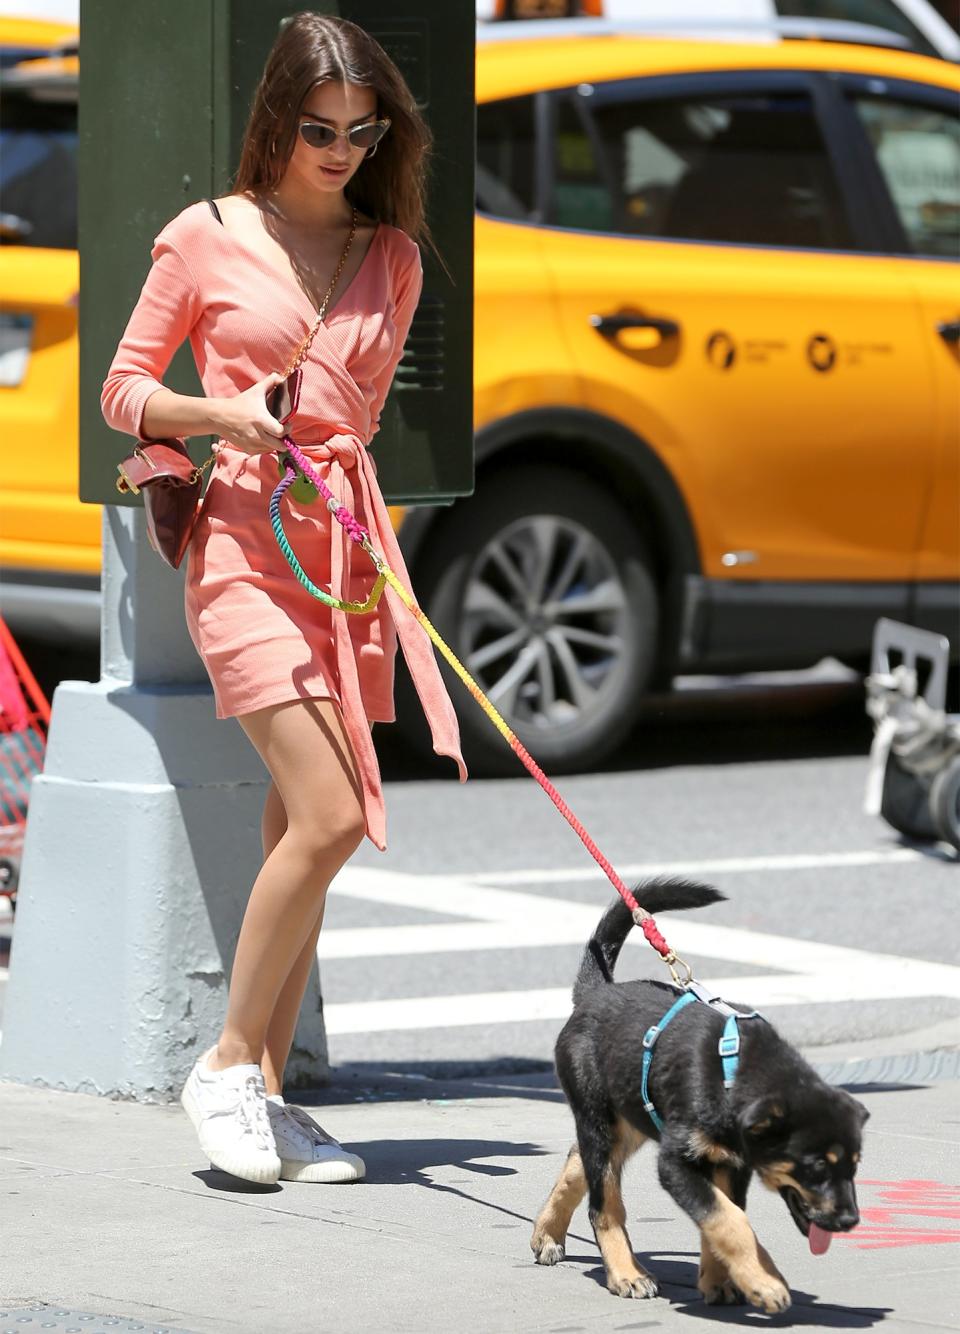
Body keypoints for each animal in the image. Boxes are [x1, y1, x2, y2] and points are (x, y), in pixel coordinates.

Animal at [533, 880, 869, 1307]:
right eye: (816, 1167)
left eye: (854, 1167)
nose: (850, 1220)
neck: (733, 1076)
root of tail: (595, 993)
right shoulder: (676, 1162)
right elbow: (727, 1219)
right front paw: (764, 1282)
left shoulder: (731, 1163)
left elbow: (721, 1217)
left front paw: (721, 1280)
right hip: (602, 1119)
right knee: (604, 1204)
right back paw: (626, 1273)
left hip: (630, 1120)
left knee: (579, 1163)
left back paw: (547, 1234)